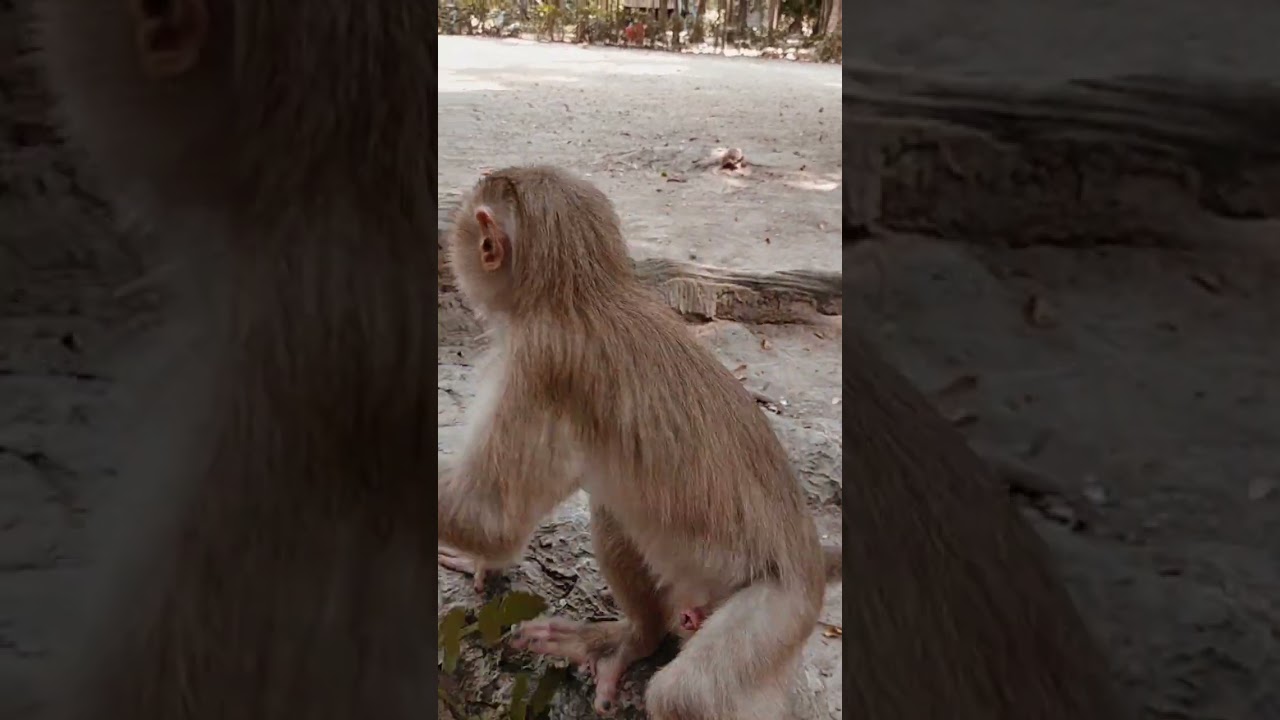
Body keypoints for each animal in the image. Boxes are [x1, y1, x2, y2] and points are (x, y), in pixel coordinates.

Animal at [438, 165, 829, 719]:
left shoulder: (538, 363)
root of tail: (812, 564)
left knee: (685, 696)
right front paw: (483, 564)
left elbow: (490, 519)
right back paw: (640, 637)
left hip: (780, 608)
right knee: (616, 509)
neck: (582, 292)